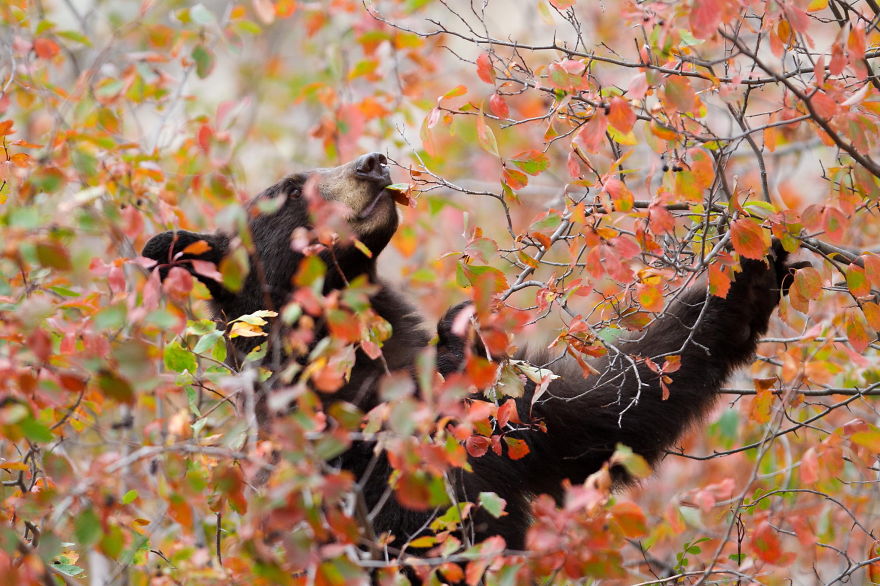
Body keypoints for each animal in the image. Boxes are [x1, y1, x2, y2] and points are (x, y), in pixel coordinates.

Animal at [142, 152, 805, 556]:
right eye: (284, 191)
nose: (372, 161)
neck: (366, 363)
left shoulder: (498, 411)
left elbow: (607, 410)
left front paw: (748, 270)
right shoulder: (352, 461)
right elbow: (425, 529)